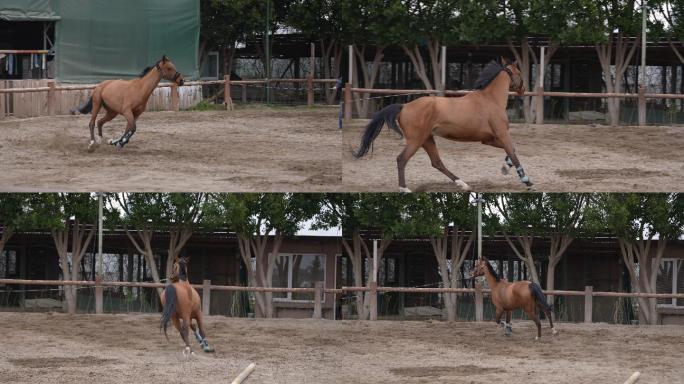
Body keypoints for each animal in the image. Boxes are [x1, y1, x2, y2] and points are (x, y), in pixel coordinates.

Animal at [356, 57, 532, 192]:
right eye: (519, 72)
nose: (523, 89)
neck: (491, 100)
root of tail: (404, 106)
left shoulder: (488, 139)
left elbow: (512, 150)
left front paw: (505, 168)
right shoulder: (502, 133)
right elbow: (513, 154)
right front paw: (527, 181)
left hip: (427, 139)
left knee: (437, 162)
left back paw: (463, 184)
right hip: (416, 140)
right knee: (402, 159)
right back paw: (404, 189)